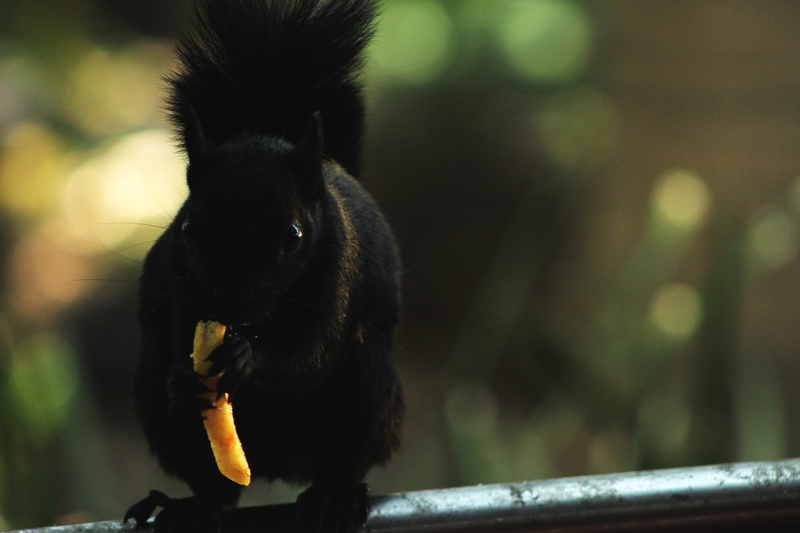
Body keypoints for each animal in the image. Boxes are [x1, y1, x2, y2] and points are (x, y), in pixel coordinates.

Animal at [123, 0, 404, 532]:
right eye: (187, 230)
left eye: (294, 236)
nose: (233, 307)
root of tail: (277, 469)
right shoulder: (182, 286)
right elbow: (182, 337)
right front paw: (183, 383)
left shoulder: (339, 276)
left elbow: (309, 358)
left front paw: (246, 358)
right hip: (154, 389)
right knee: (214, 484)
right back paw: (192, 504)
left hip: (368, 391)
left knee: (340, 459)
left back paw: (334, 497)